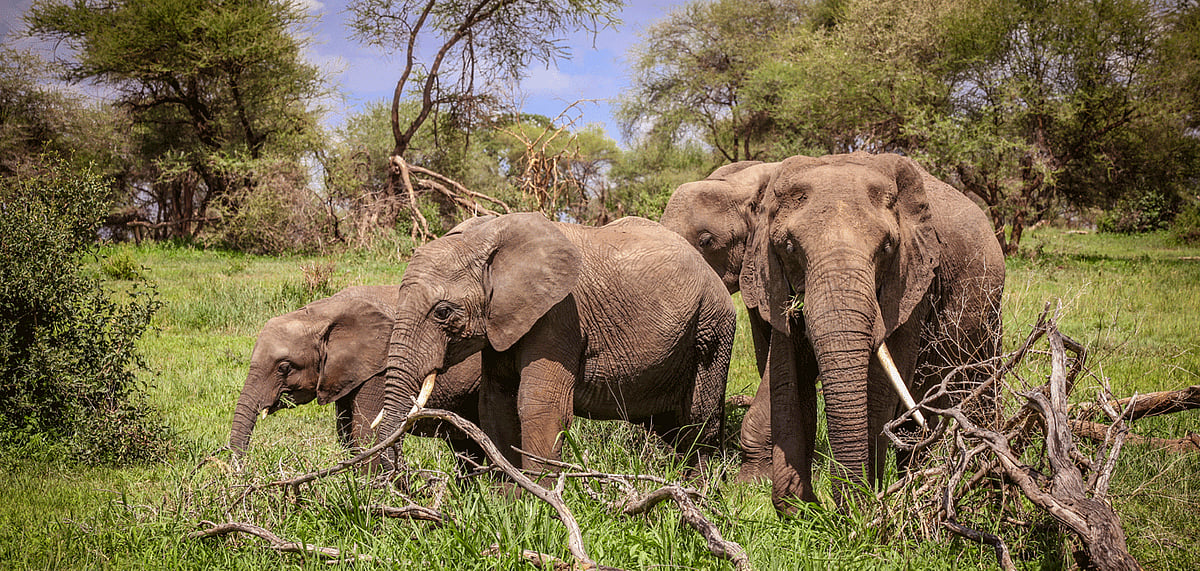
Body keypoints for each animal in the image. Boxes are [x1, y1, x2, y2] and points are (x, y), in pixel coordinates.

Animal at [373, 213, 737, 474]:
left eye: (443, 312)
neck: (487, 236)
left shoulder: (560, 314)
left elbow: (539, 406)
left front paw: (540, 505)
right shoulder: (503, 323)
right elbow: (497, 404)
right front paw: (510, 503)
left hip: (712, 328)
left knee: (698, 424)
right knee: (673, 429)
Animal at [732, 152, 1004, 512]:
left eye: (887, 247)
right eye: (789, 247)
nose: (832, 508)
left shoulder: (911, 281)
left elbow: (879, 385)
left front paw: (858, 513)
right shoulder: (773, 278)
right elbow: (787, 375)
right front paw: (802, 510)